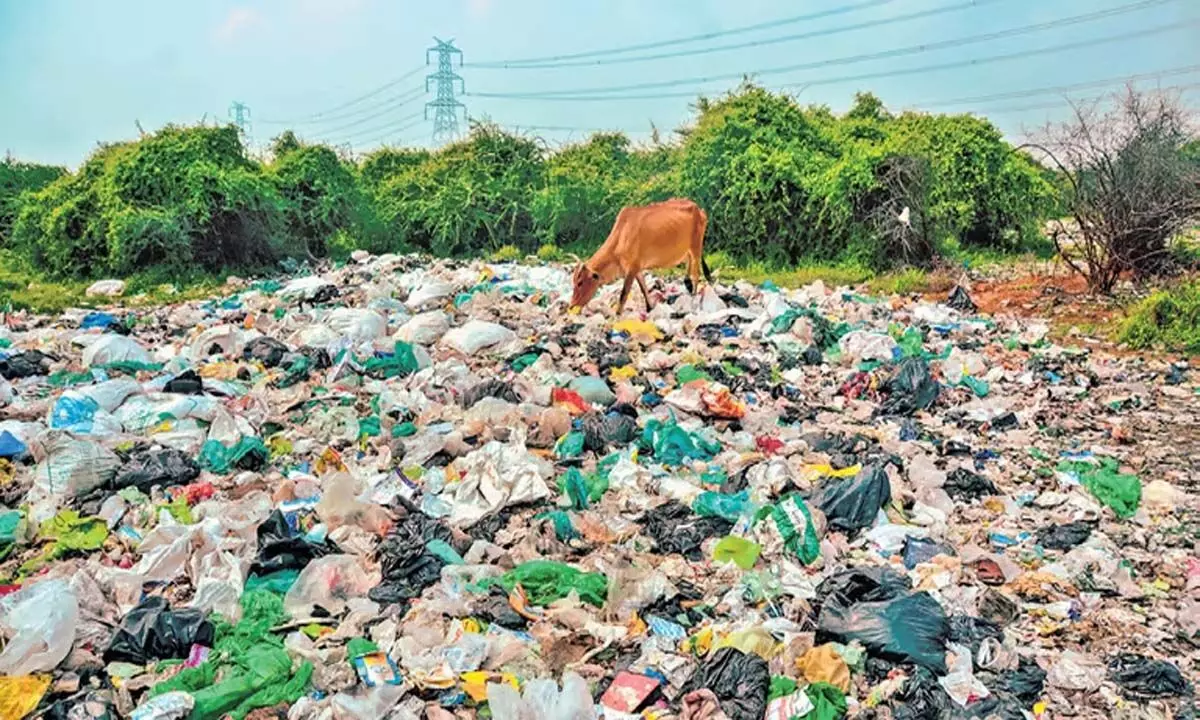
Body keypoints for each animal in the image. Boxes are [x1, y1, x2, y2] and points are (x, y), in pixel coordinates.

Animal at [566, 196, 705, 312]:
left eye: (580, 282)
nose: (572, 305)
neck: (621, 235)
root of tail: (699, 209)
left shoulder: (631, 269)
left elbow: (623, 294)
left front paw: (617, 316)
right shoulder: (637, 269)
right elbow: (643, 289)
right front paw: (649, 308)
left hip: (696, 246)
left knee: (696, 273)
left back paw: (693, 295)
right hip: (686, 250)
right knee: (689, 262)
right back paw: (687, 283)